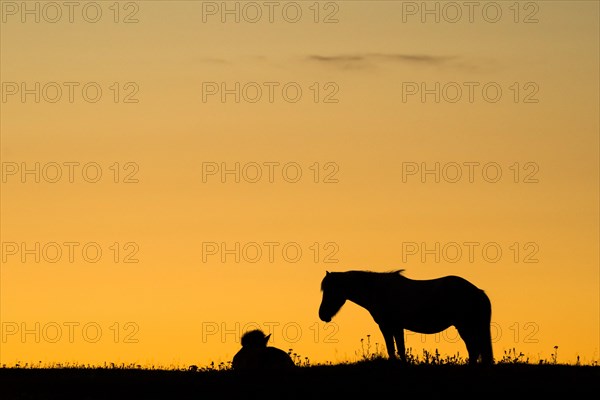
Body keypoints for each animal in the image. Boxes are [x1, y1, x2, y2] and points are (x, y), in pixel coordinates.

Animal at [318, 270, 492, 364]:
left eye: (331, 290)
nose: (322, 315)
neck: (379, 291)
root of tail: (478, 292)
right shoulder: (396, 327)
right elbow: (399, 349)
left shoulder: (388, 326)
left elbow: (393, 348)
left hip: (465, 326)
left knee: (474, 348)